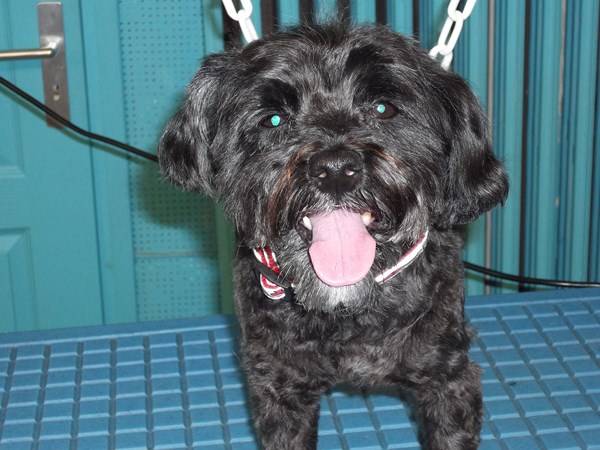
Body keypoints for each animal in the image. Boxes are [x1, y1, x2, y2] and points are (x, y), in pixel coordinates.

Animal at [158, 23, 508, 450]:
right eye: (273, 119)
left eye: (383, 108)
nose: (336, 169)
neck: (347, 314)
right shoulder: (278, 388)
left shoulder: (448, 378)